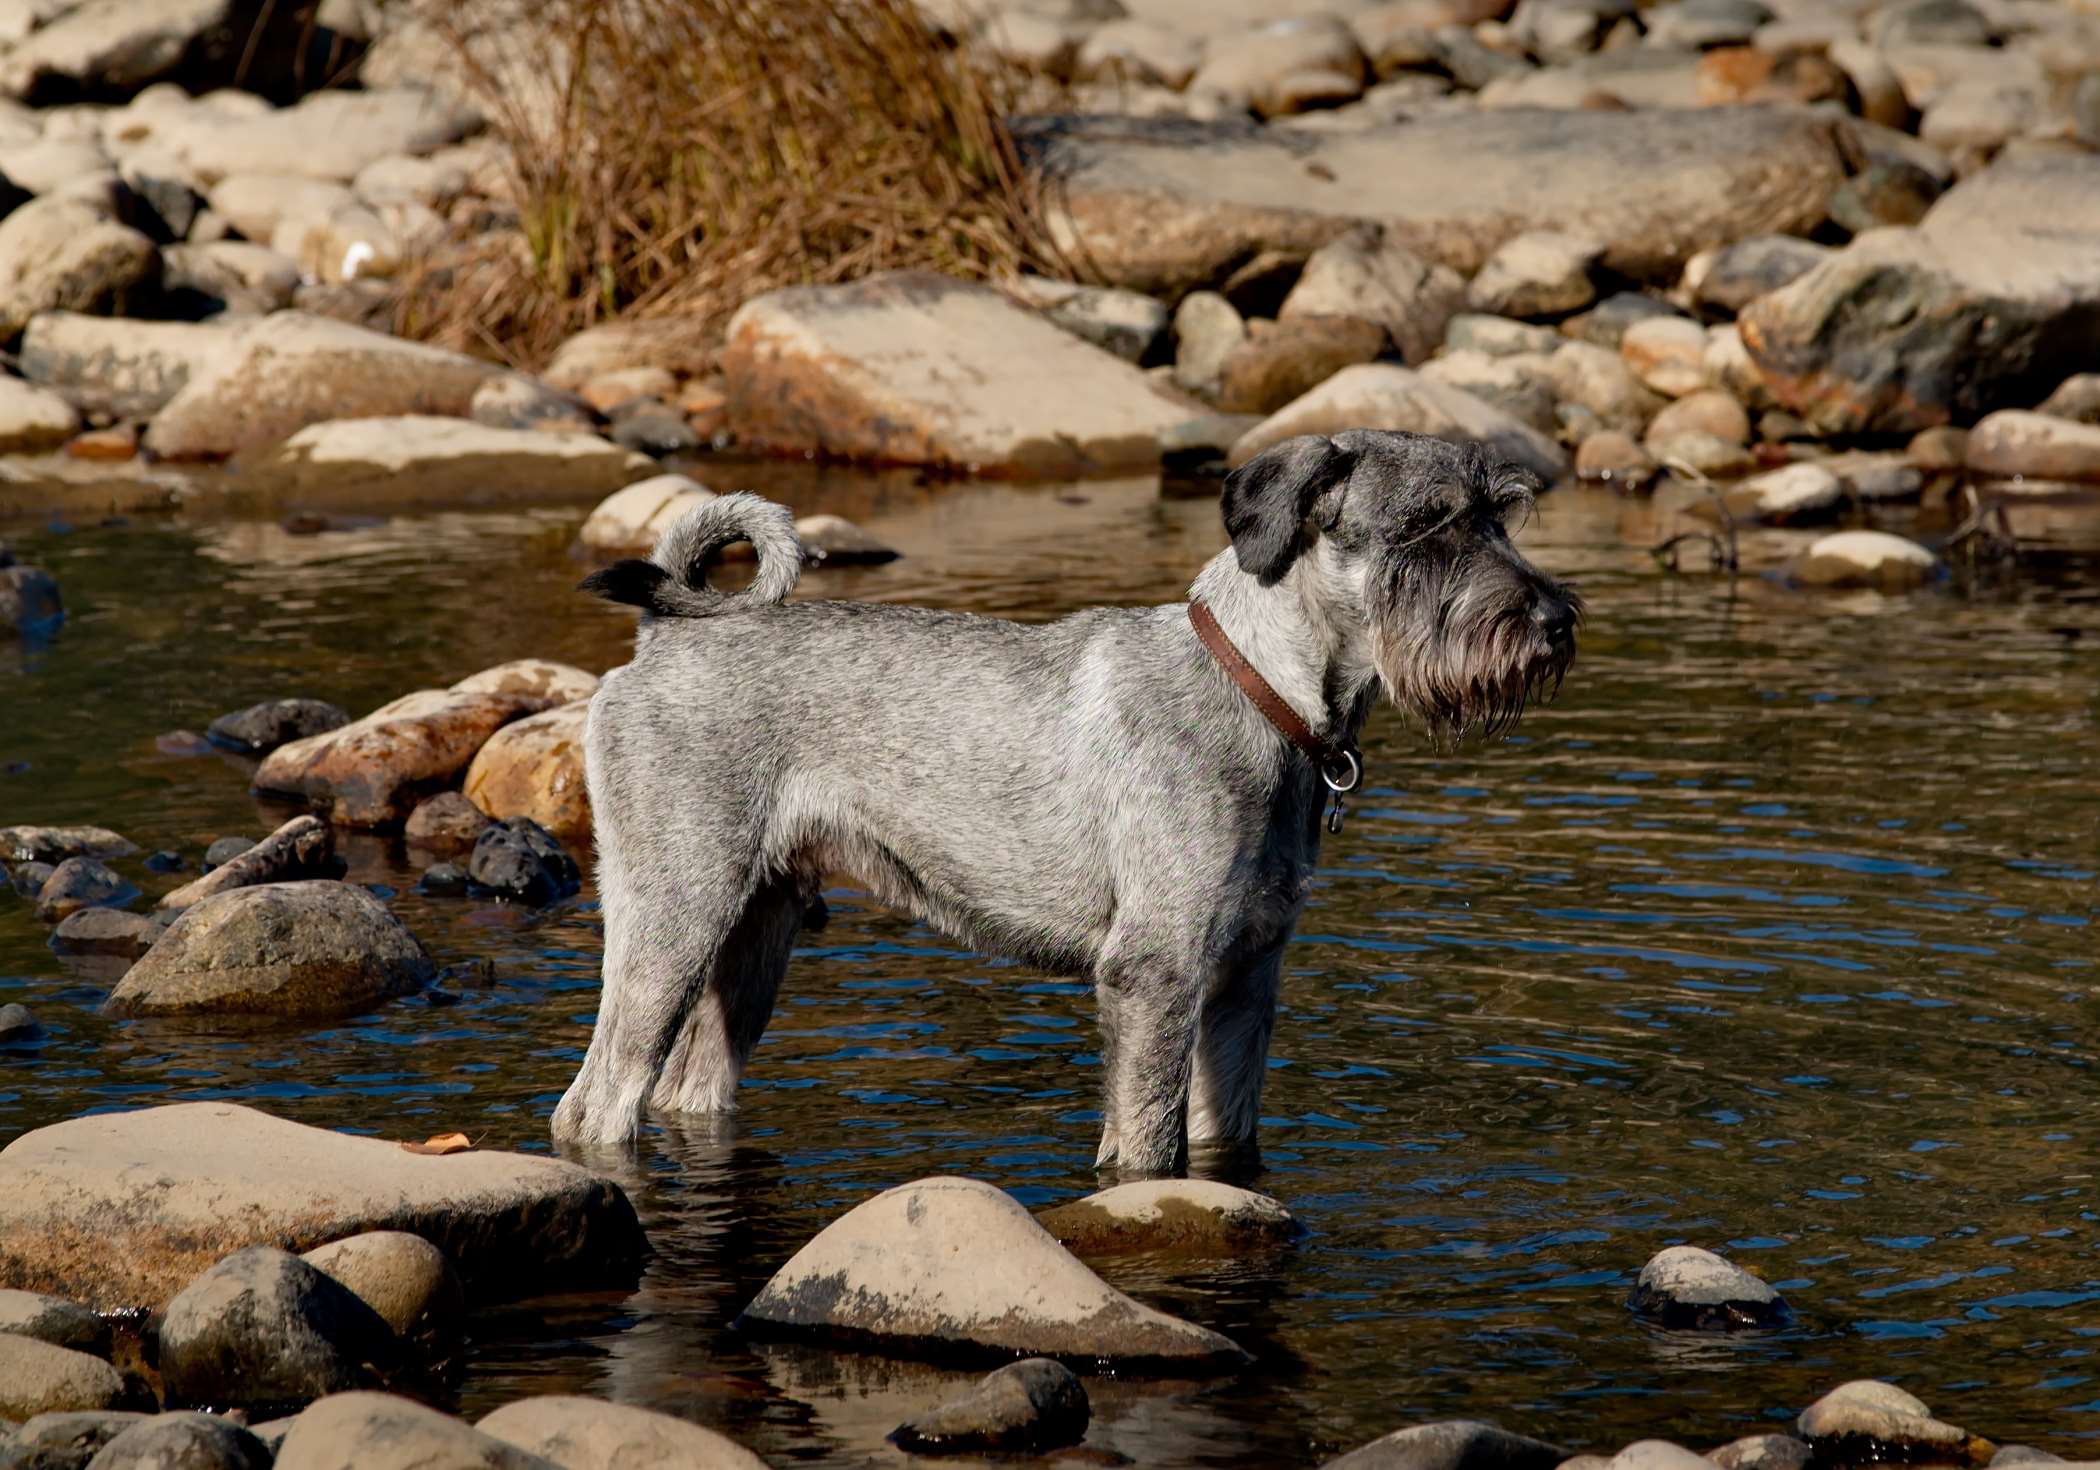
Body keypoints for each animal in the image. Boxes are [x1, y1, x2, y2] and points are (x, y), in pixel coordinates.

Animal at [554, 424, 1579, 1167]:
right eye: (1430, 526)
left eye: (1502, 516)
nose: (1555, 621)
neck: (1262, 689)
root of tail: (662, 642)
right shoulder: (1155, 974)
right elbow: (1148, 1145)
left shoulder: (1246, 979)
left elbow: (1221, 1136)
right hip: (675, 921)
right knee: (597, 1102)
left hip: (755, 940)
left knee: (687, 1086)